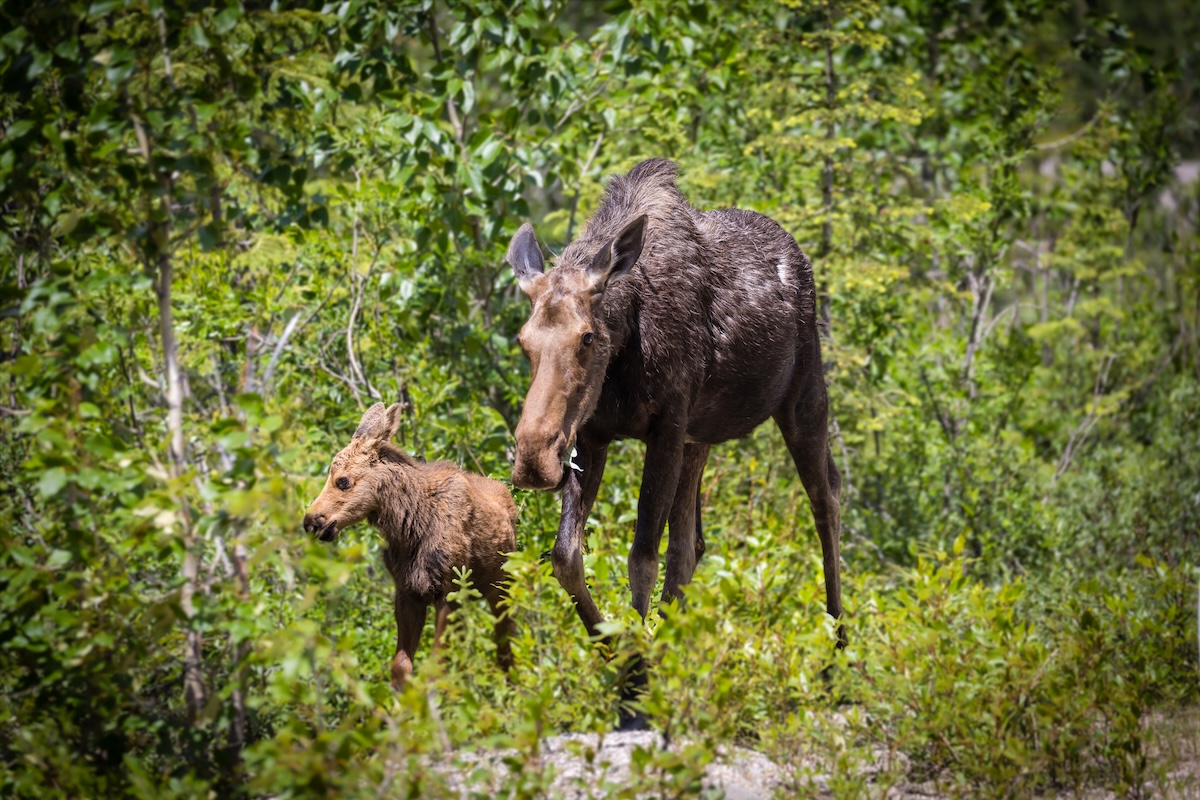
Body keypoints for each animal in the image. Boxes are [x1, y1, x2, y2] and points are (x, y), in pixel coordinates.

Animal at [303, 402, 517, 689]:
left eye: (343, 481)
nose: (311, 521)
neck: (409, 525)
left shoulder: (448, 589)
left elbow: (436, 669)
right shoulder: (407, 591)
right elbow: (401, 668)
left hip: (500, 585)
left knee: (505, 643)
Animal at [505, 159, 843, 714]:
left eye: (587, 337)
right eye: (523, 340)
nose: (534, 458)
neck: (625, 342)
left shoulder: (664, 426)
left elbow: (642, 554)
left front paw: (637, 680)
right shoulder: (594, 435)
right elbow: (567, 556)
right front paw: (624, 656)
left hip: (802, 397)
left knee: (827, 499)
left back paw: (836, 655)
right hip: (699, 436)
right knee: (691, 543)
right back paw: (677, 649)